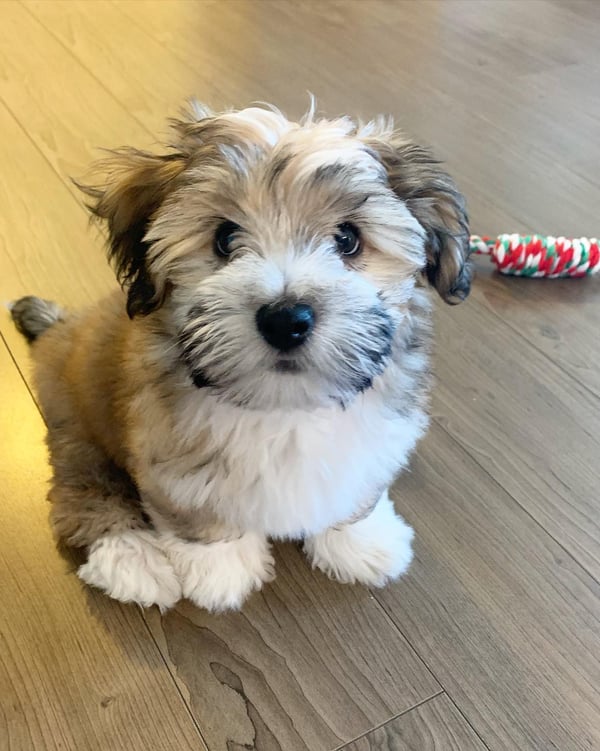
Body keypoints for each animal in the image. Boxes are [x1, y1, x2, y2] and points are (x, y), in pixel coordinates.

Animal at [8, 101, 468, 612]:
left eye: (348, 239)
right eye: (225, 239)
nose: (286, 319)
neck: (284, 407)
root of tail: (61, 328)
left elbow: (355, 491)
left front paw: (358, 541)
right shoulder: (166, 456)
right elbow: (198, 517)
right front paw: (220, 569)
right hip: (77, 427)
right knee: (83, 495)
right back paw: (132, 561)